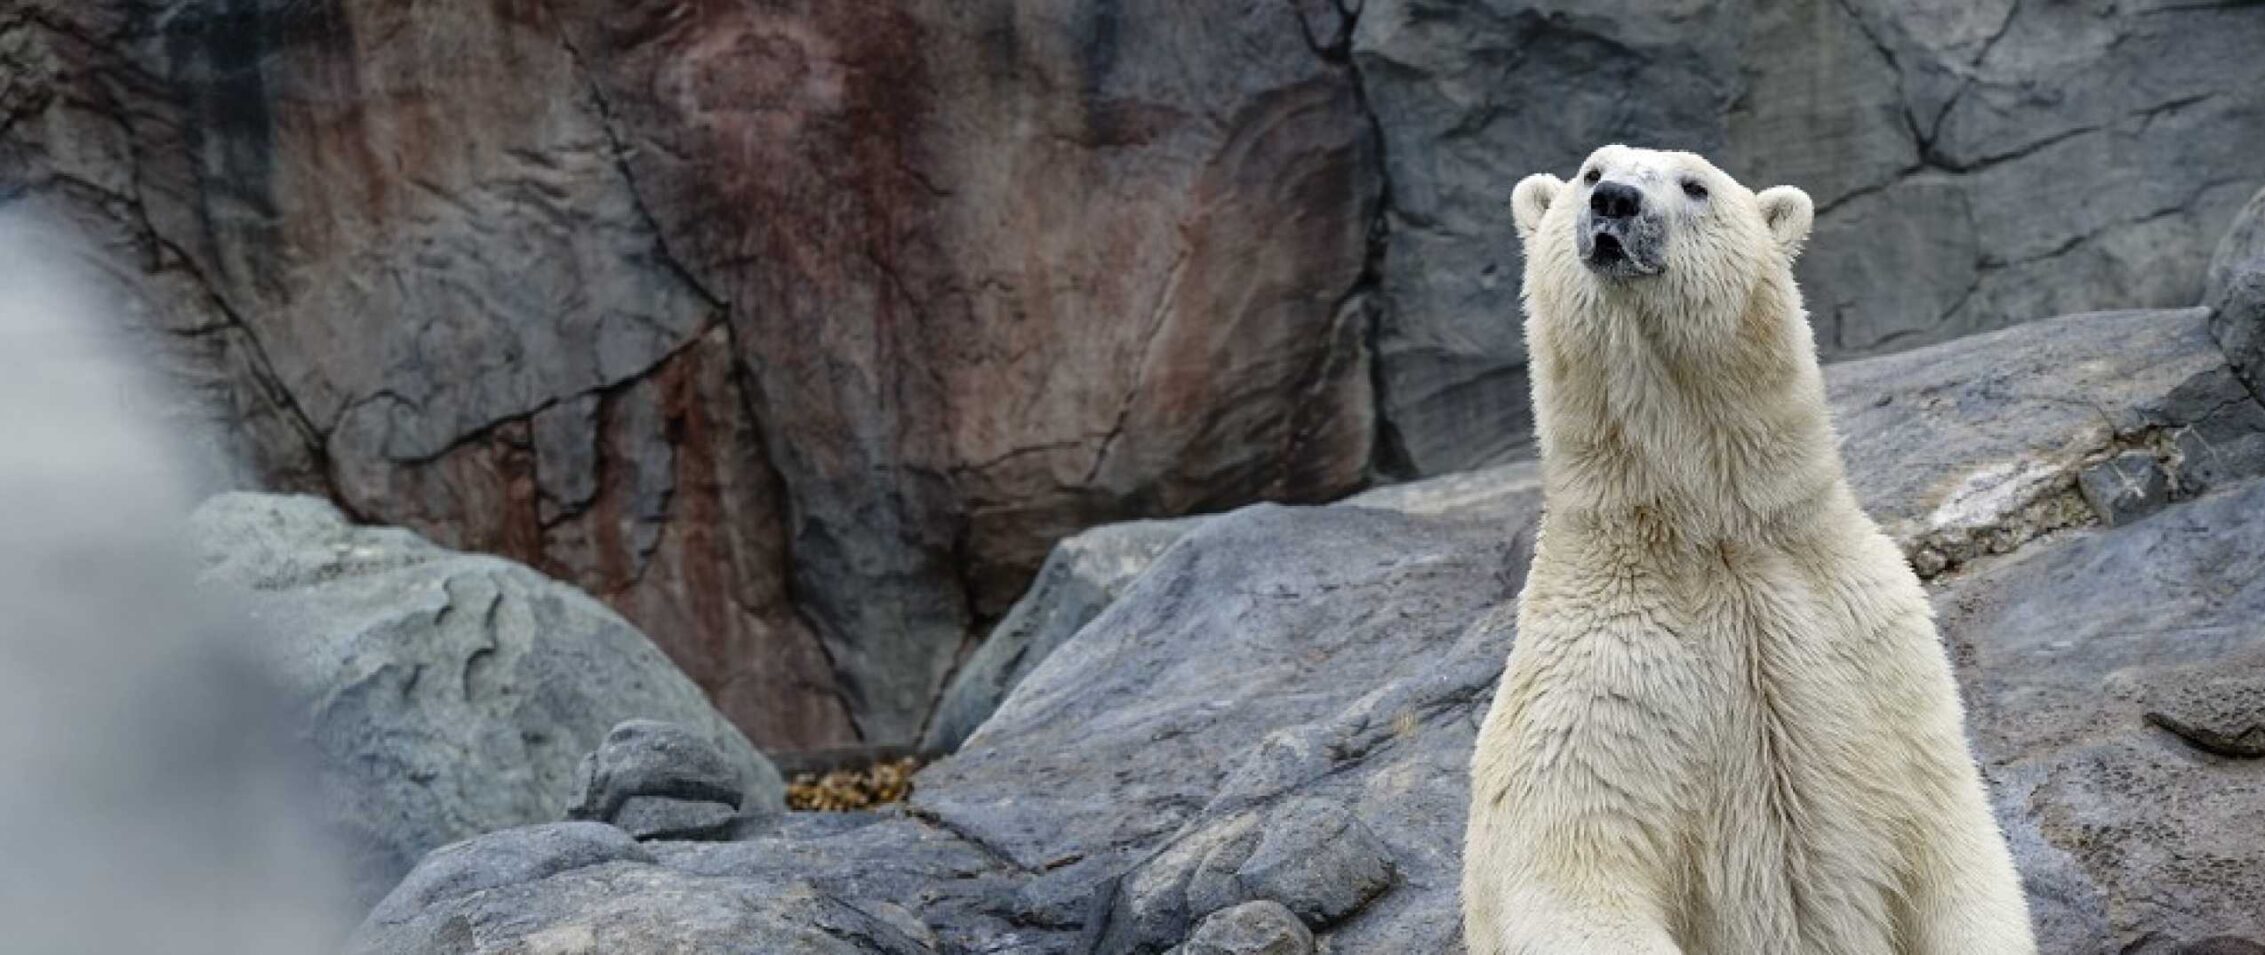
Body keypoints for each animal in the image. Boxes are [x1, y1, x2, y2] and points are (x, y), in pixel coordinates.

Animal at [1460, 145, 2035, 955]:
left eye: (1694, 184)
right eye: (1590, 170)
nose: (1615, 202)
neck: (1714, 541)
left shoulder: (1874, 654)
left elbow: (1955, 848)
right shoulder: (1599, 682)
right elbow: (1573, 867)